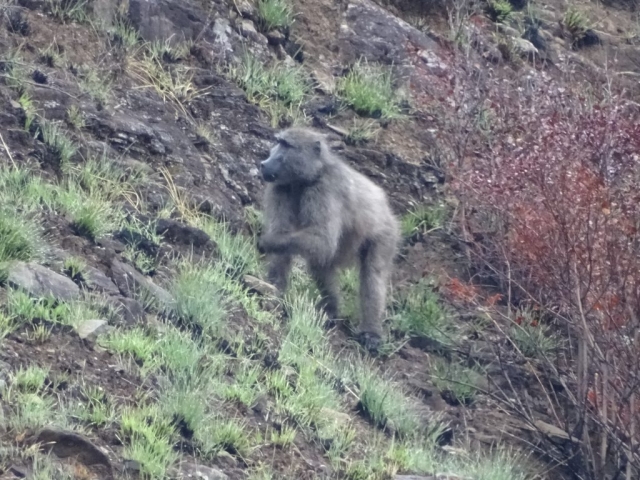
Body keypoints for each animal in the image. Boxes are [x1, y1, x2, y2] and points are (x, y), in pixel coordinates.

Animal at [257, 127, 400, 353]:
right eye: (278, 142)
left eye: (286, 145)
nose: (264, 163)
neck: (309, 177)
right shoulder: (279, 187)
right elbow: (285, 238)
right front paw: (274, 290)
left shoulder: (325, 190)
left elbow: (322, 240)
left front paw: (266, 243)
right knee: (319, 263)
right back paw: (331, 309)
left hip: (385, 232)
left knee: (373, 273)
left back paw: (371, 332)